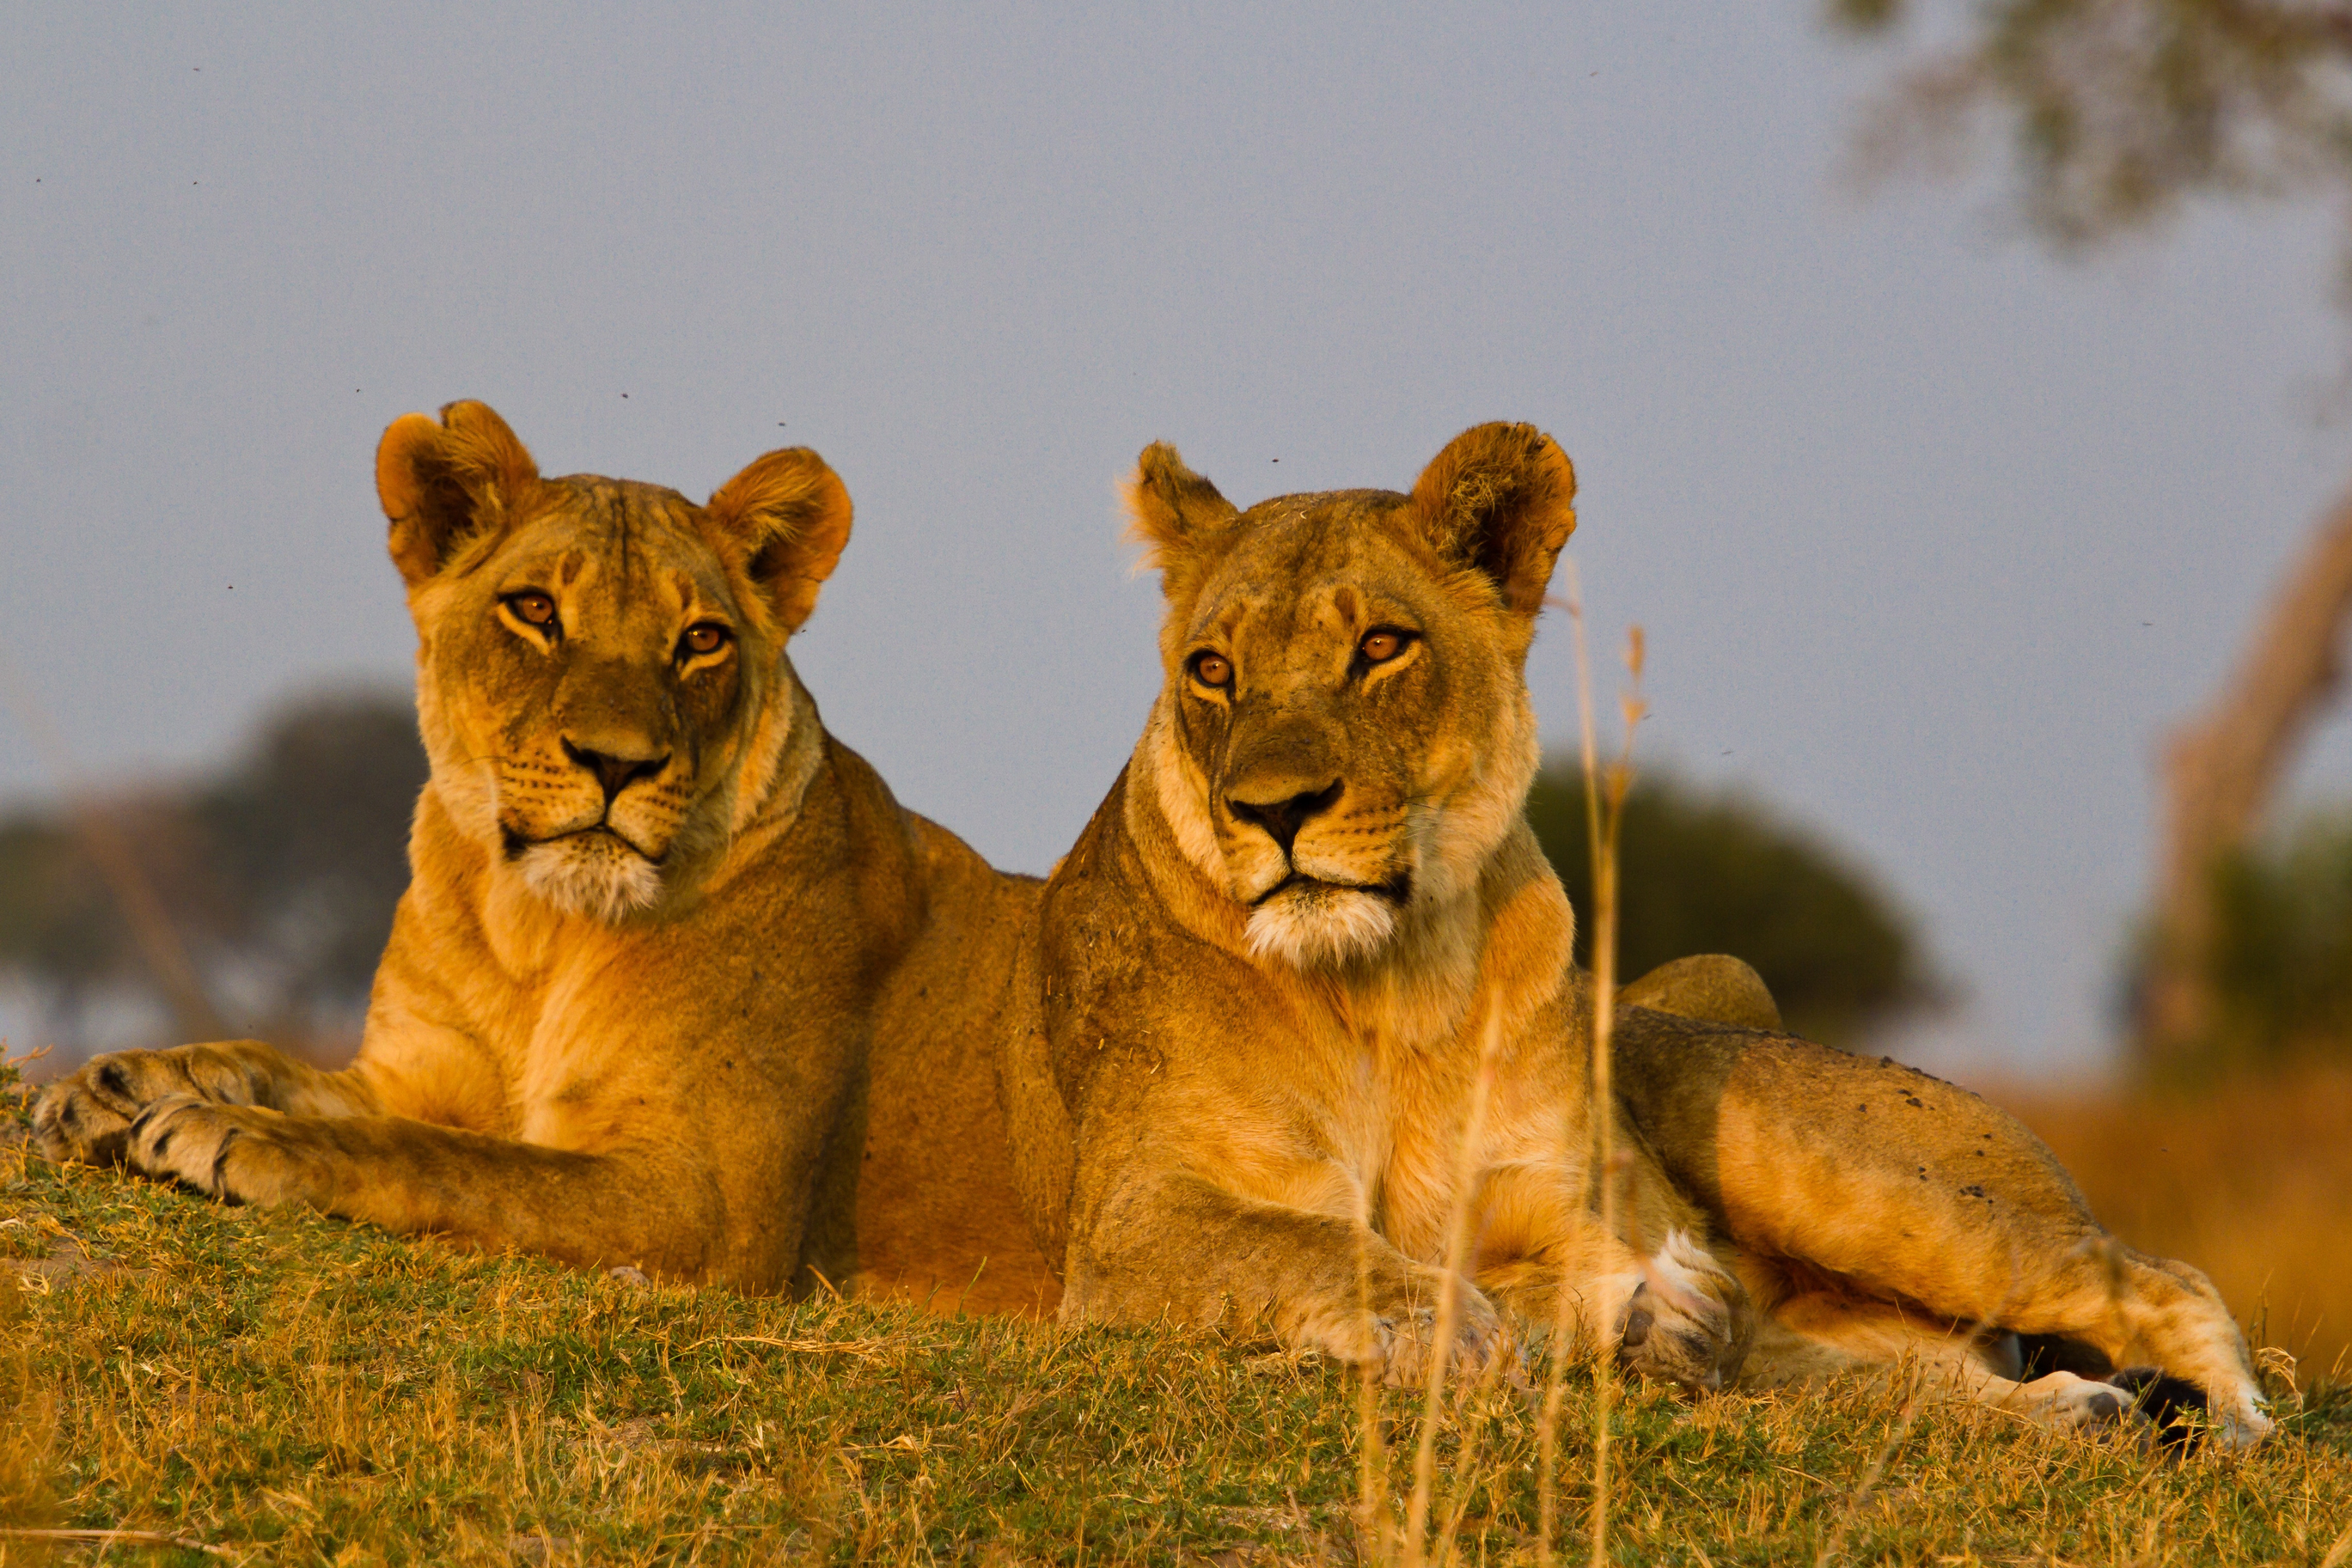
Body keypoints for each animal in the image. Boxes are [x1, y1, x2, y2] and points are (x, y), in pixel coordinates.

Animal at [33, 401, 1055, 1313]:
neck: (533, 928)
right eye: (534, 609)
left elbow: (455, 1160)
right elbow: (276, 1062)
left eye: (701, 639)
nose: (617, 762)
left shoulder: (705, 1202)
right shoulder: (407, 1076)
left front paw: (225, 1130)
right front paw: (119, 1084)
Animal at [996, 421, 2271, 1443]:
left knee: (2157, 1275)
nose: (1272, 809)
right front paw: (1516, 1327)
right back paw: (2080, 1412)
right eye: (1211, 670)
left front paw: (1626, 1313)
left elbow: (1547, 1276)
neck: (1391, 982)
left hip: (1850, 1179)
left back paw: (2234, 1421)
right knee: (1903, 1384)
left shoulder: (1584, 1204)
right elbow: (1321, 1249)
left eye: (1381, 647)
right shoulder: (1124, 1232)